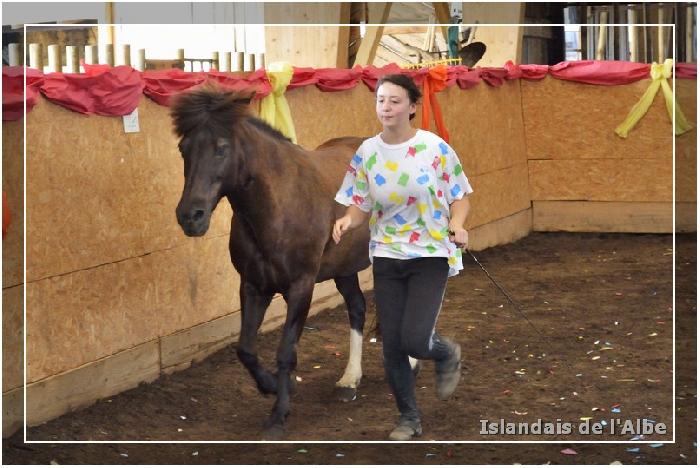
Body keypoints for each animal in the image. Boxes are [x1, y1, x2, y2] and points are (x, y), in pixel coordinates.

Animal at [170, 85, 372, 438]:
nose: (190, 216)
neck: (277, 207)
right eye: (184, 148)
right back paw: (349, 380)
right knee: (358, 308)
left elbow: (285, 351)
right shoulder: (254, 286)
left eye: (221, 148)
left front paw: (279, 414)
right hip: (345, 269)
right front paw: (272, 386)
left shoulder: (301, 287)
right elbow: (246, 349)